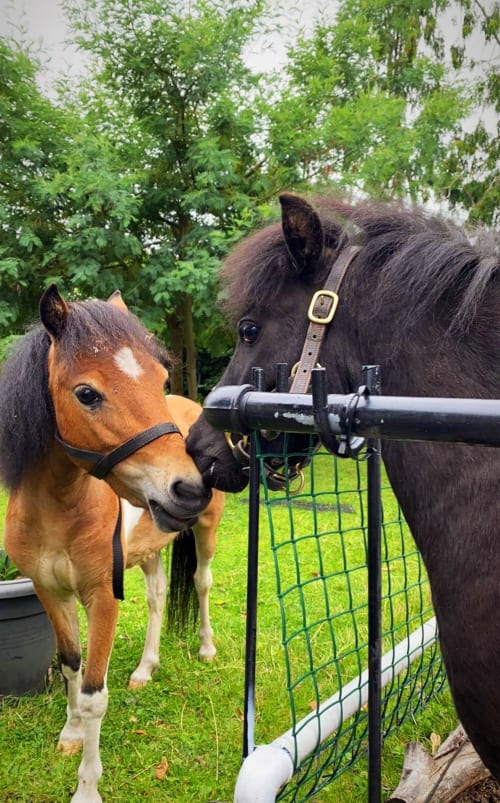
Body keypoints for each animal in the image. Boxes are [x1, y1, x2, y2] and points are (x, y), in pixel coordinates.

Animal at [0, 284, 222, 803]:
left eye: (160, 378)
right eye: (87, 393)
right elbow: (69, 667)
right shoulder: (49, 593)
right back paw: (145, 668)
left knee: (201, 583)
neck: (57, 511)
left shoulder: (102, 597)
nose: (189, 488)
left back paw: (206, 648)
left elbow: (94, 695)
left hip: (205, 531)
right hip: (150, 549)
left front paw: (87, 787)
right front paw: (69, 734)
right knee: (159, 597)